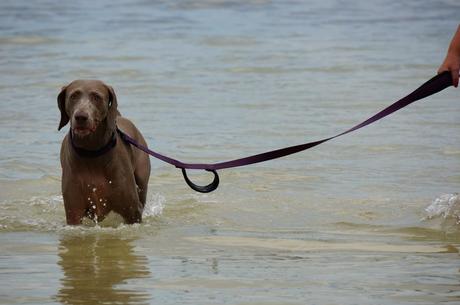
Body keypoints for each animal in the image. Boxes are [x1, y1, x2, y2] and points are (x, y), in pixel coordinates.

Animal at [57, 79, 151, 224]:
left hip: (142, 180)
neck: (91, 153)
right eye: (74, 96)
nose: (81, 117)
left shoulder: (132, 211)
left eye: (96, 97)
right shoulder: (74, 212)